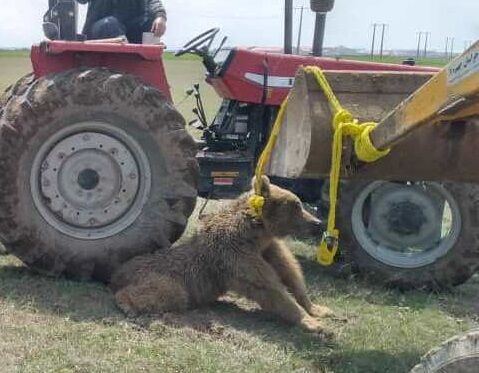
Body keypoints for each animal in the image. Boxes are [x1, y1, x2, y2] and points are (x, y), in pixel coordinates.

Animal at [110, 176, 334, 332]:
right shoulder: (236, 254)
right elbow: (269, 287)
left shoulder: (267, 249)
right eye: (296, 205)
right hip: (161, 276)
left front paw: (318, 309)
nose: (317, 223)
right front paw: (313, 324)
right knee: (170, 293)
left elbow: (290, 273)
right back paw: (126, 304)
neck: (255, 233)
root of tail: (118, 271)